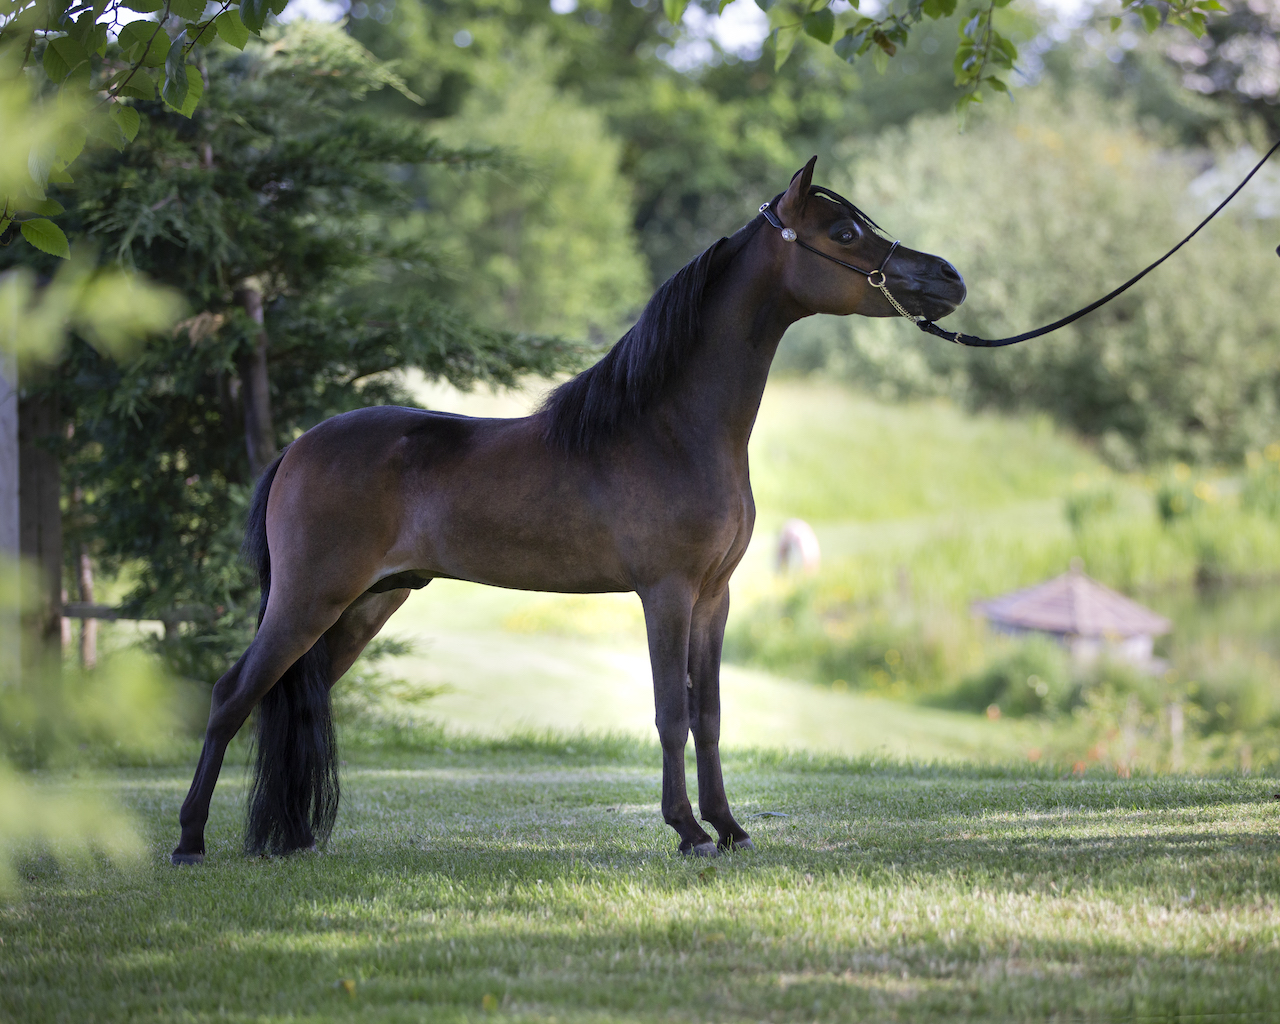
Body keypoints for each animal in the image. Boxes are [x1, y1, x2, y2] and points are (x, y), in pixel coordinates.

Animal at [170, 157, 966, 864]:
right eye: (845, 232)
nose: (948, 278)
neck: (671, 429)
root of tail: (298, 449)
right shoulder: (667, 594)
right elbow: (671, 713)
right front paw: (689, 832)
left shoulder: (714, 597)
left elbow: (709, 715)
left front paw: (730, 827)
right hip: (310, 597)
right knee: (232, 695)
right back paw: (189, 842)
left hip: (365, 604)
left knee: (294, 700)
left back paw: (294, 839)